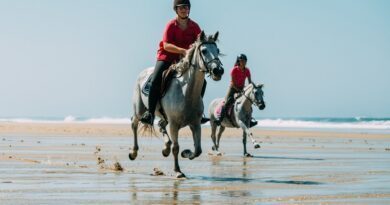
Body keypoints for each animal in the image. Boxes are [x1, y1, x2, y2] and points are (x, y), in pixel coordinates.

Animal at [129, 31, 224, 179]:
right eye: (204, 50)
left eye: (217, 50)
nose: (218, 71)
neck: (186, 92)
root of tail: (144, 72)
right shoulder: (174, 124)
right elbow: (176, 147)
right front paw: (178, 171)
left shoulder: (195, 124)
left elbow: (198, 150)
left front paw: (186, 153)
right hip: (139, 109)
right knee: (134, 123)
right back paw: (133, 153)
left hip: (164, 116)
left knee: (161, 125)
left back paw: (165, 149)